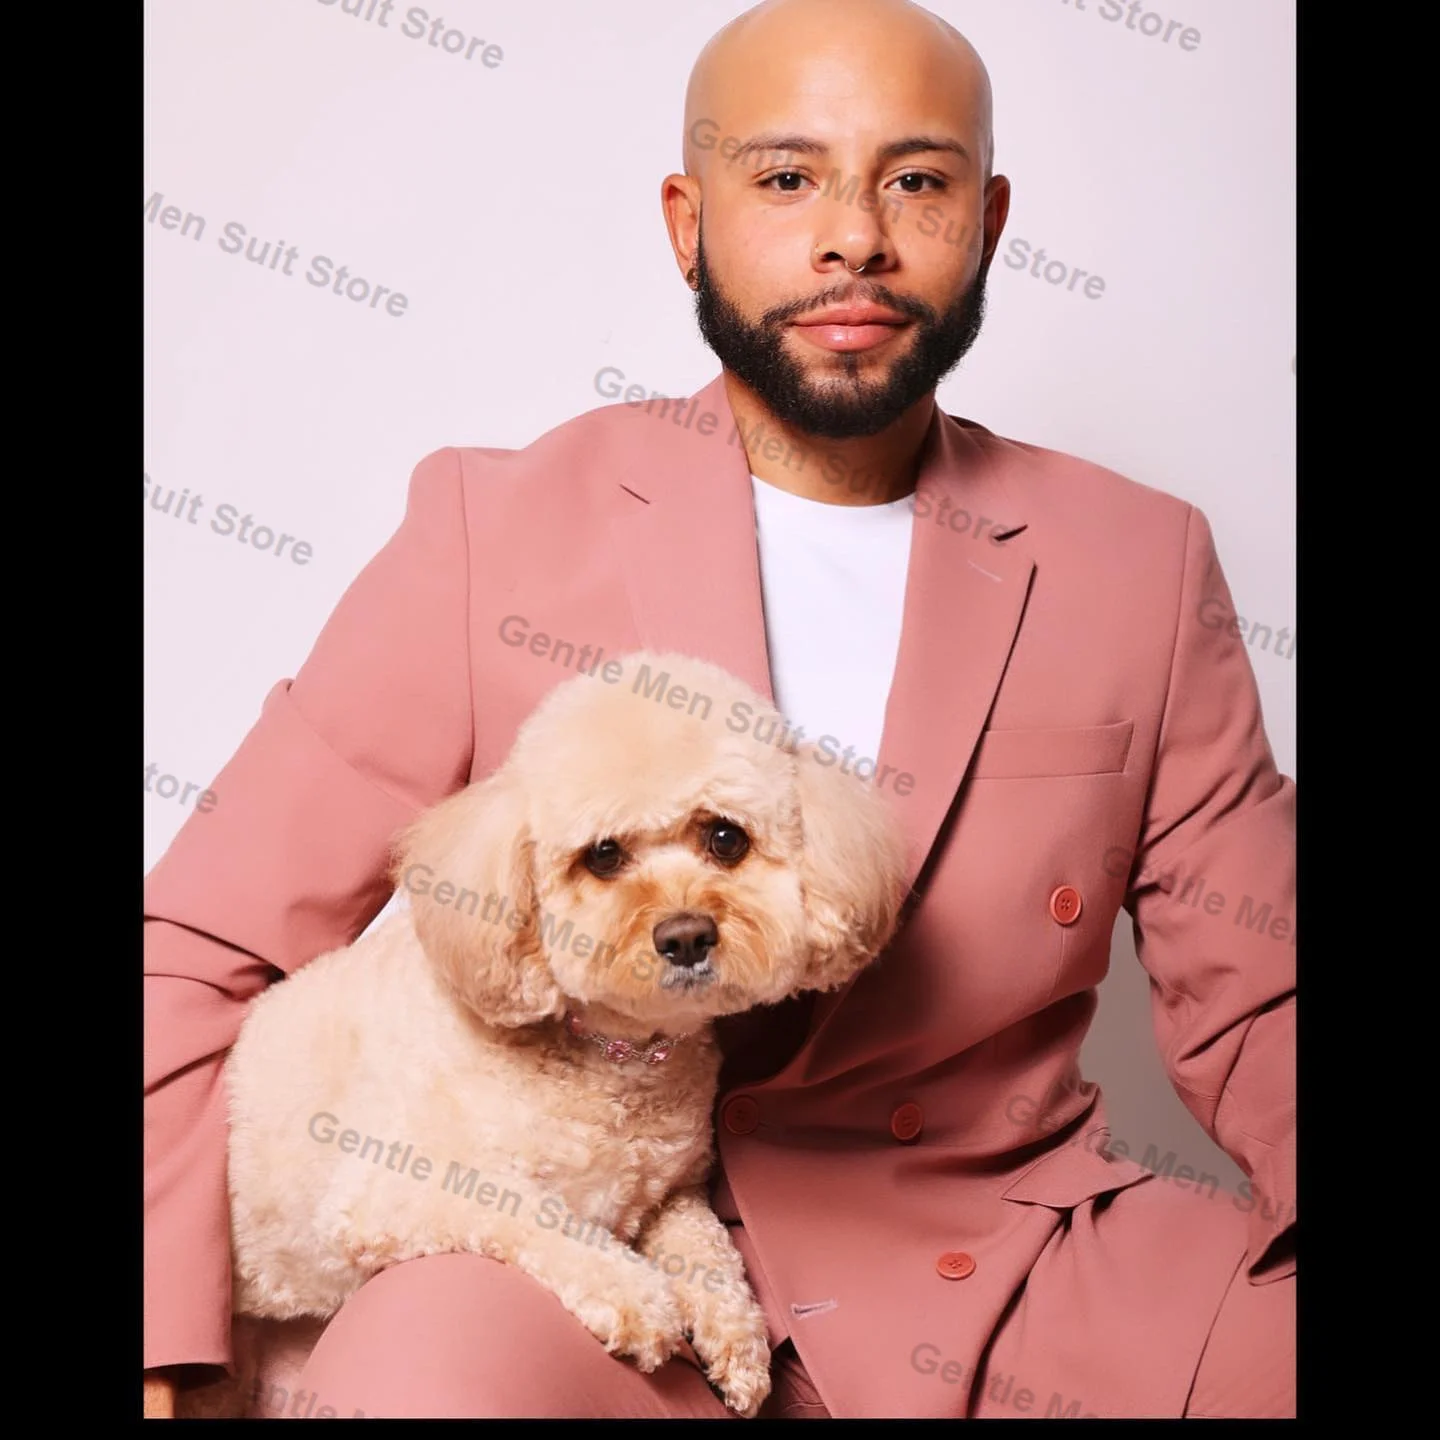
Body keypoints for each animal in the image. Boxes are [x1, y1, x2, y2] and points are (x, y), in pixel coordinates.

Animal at [213, 653, 904, 1416]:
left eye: (726, 839)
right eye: (603, 856)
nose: (687, 936)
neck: (616, 1058)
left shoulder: (673, 1196)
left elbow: (710, 1253)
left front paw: (736, 1341)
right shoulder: (398, 1192)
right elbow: (533, 1215)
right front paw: (636, 1298)